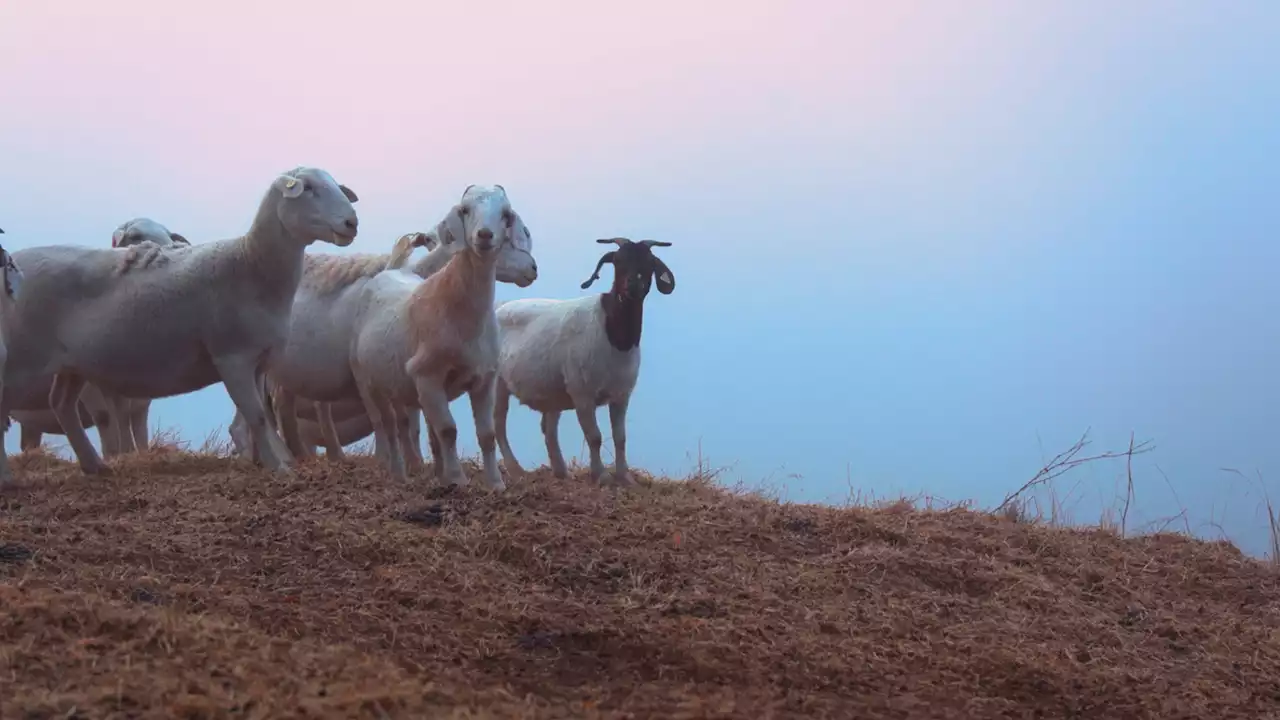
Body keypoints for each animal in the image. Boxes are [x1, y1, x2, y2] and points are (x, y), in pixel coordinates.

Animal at [10, 217, 192, 453]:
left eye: (167, 235)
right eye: (134, 236)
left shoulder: (140, 397)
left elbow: (137, 425)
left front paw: (138, 453)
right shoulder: (92, 388)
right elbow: (107, 418)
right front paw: (117, 455)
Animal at [348, 184, 517, 486]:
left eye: (506, 214)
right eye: (465, 210)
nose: (484, 235)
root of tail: (392, 270)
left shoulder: (485, 377)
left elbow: (486, 435)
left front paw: (495, 484)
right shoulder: (427, 374)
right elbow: (448, 430)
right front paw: (458, 480)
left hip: (399, 382)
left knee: (407, 425)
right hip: (368, 379)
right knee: (388, 425)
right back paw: (398, 473)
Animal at [488, 238, 675, 484]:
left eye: (650, 263)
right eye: (618, 261)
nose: (633, 286)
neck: (615, 336)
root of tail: (499, 307)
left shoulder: (621, 394)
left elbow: (620, 437)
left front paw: (625, 477)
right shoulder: (582, 393)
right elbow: (594, 436)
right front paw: (601, 476)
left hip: (552, 389)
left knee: (548, 428)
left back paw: (560, 471)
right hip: (496, 382)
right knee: (498, 424)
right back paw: (516, 470)